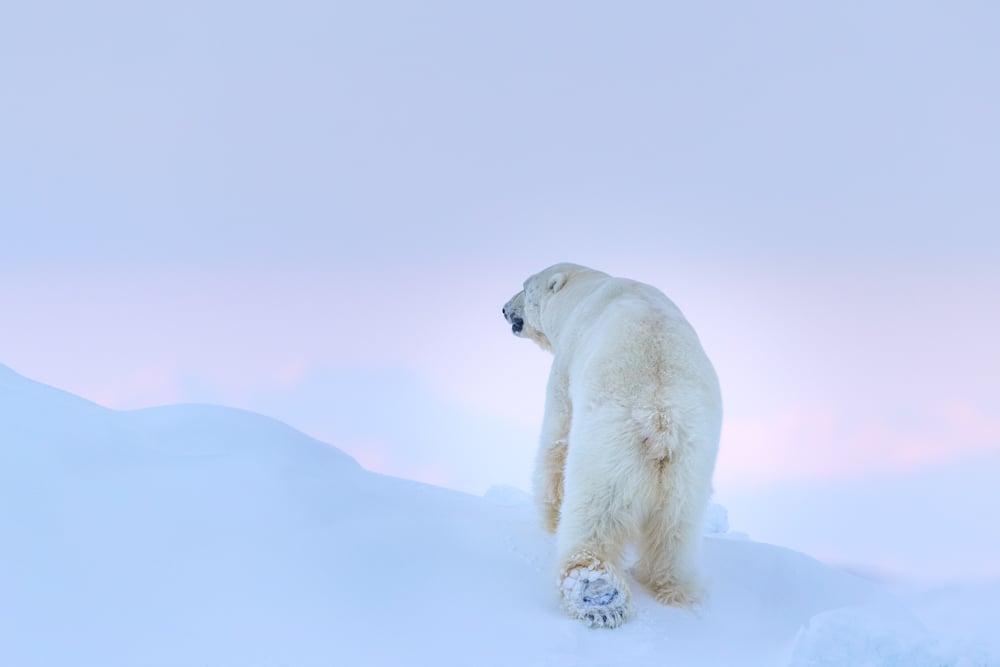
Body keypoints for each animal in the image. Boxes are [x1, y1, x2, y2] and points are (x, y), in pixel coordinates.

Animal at [504, 264, 724, 628]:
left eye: (524, 286)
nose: (505, 309)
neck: (587, 289)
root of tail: (661, 420)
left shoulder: (567, 365)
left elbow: (556, 440)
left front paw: (549, 521)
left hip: (610, 449)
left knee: (596, 515)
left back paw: (598, 595)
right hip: (691, 461)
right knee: (676, 532)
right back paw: (675, 590)